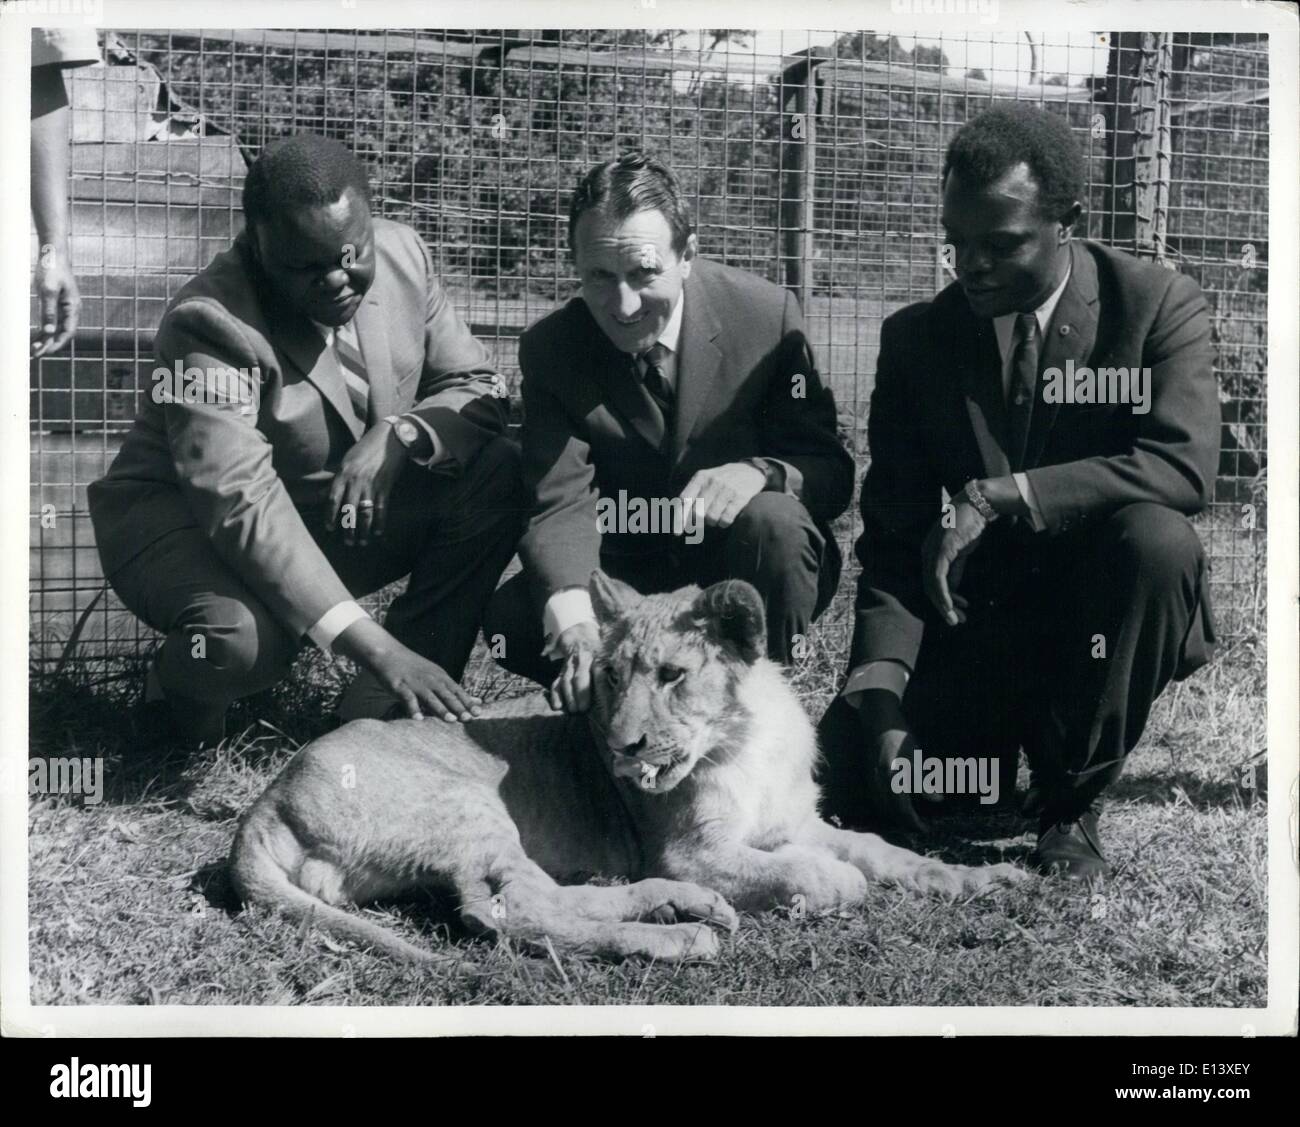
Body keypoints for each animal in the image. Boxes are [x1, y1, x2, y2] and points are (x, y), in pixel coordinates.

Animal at [231, 577, 1024, 967]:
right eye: (611, 676)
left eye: (673, 675)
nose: (619, 747)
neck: (744, 740)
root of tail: (263, 806)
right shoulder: (692, 848)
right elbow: (813, 871)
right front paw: (830, 884)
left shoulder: (795, 819)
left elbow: (886, 851)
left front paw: (985, 878)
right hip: (468, 802)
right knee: (512, 910)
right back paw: (679, 932)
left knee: (534, 899)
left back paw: (676, 909)